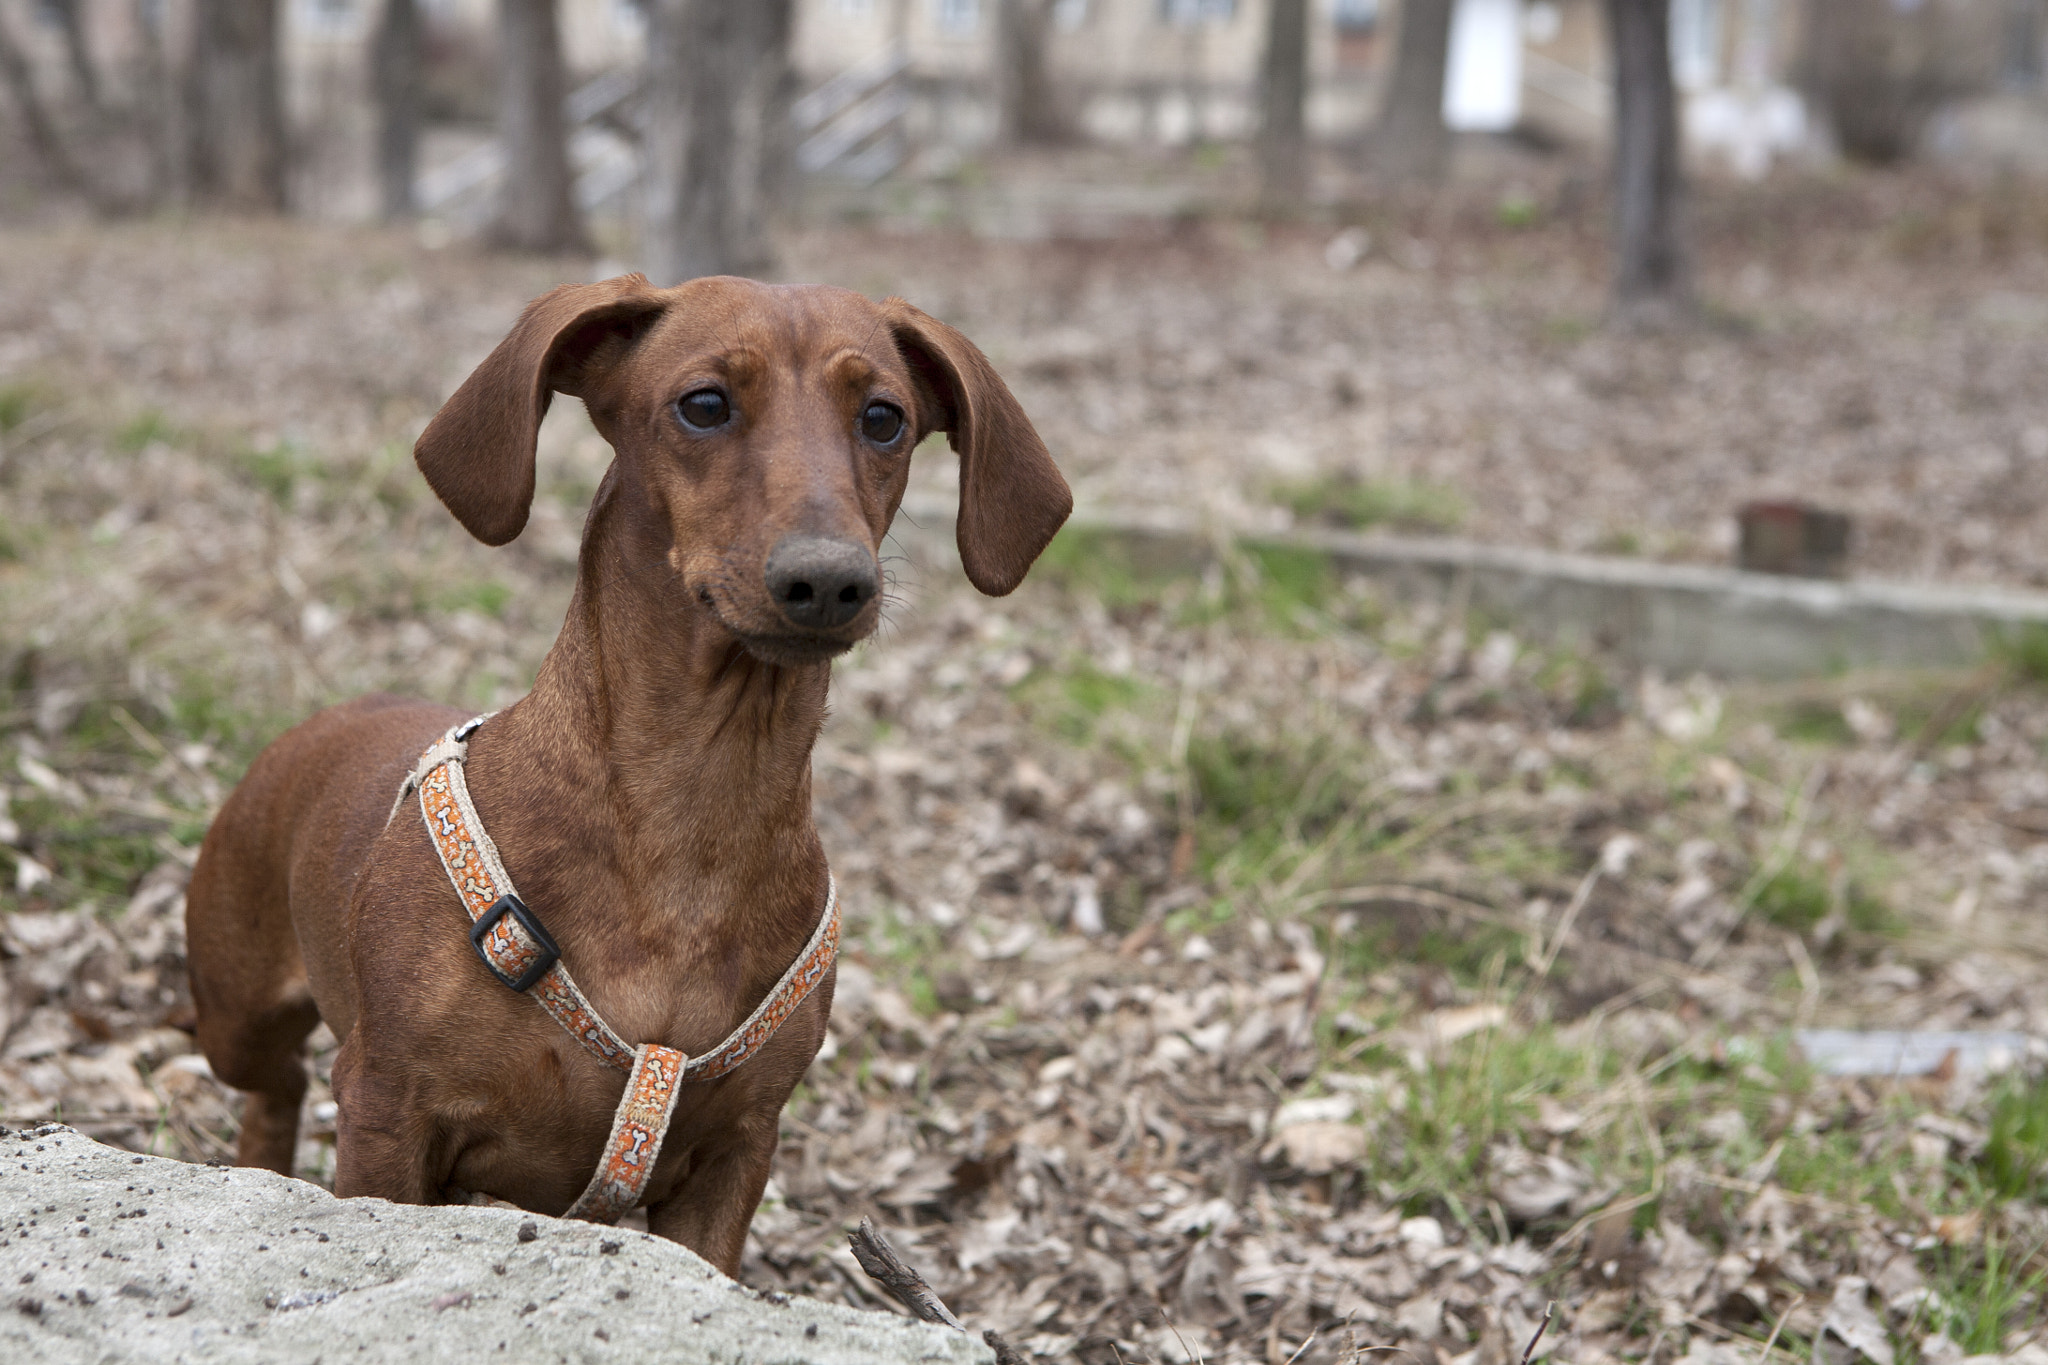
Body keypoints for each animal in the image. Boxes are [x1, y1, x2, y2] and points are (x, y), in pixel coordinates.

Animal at [186, 272, 1073, 1277]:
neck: (693, 812)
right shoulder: (387, 1110)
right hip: (238, 1020)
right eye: (704, 404)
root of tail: (326, 718)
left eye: (884, 418)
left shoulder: (735, 1151)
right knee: (272, 1086)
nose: (828, 581)